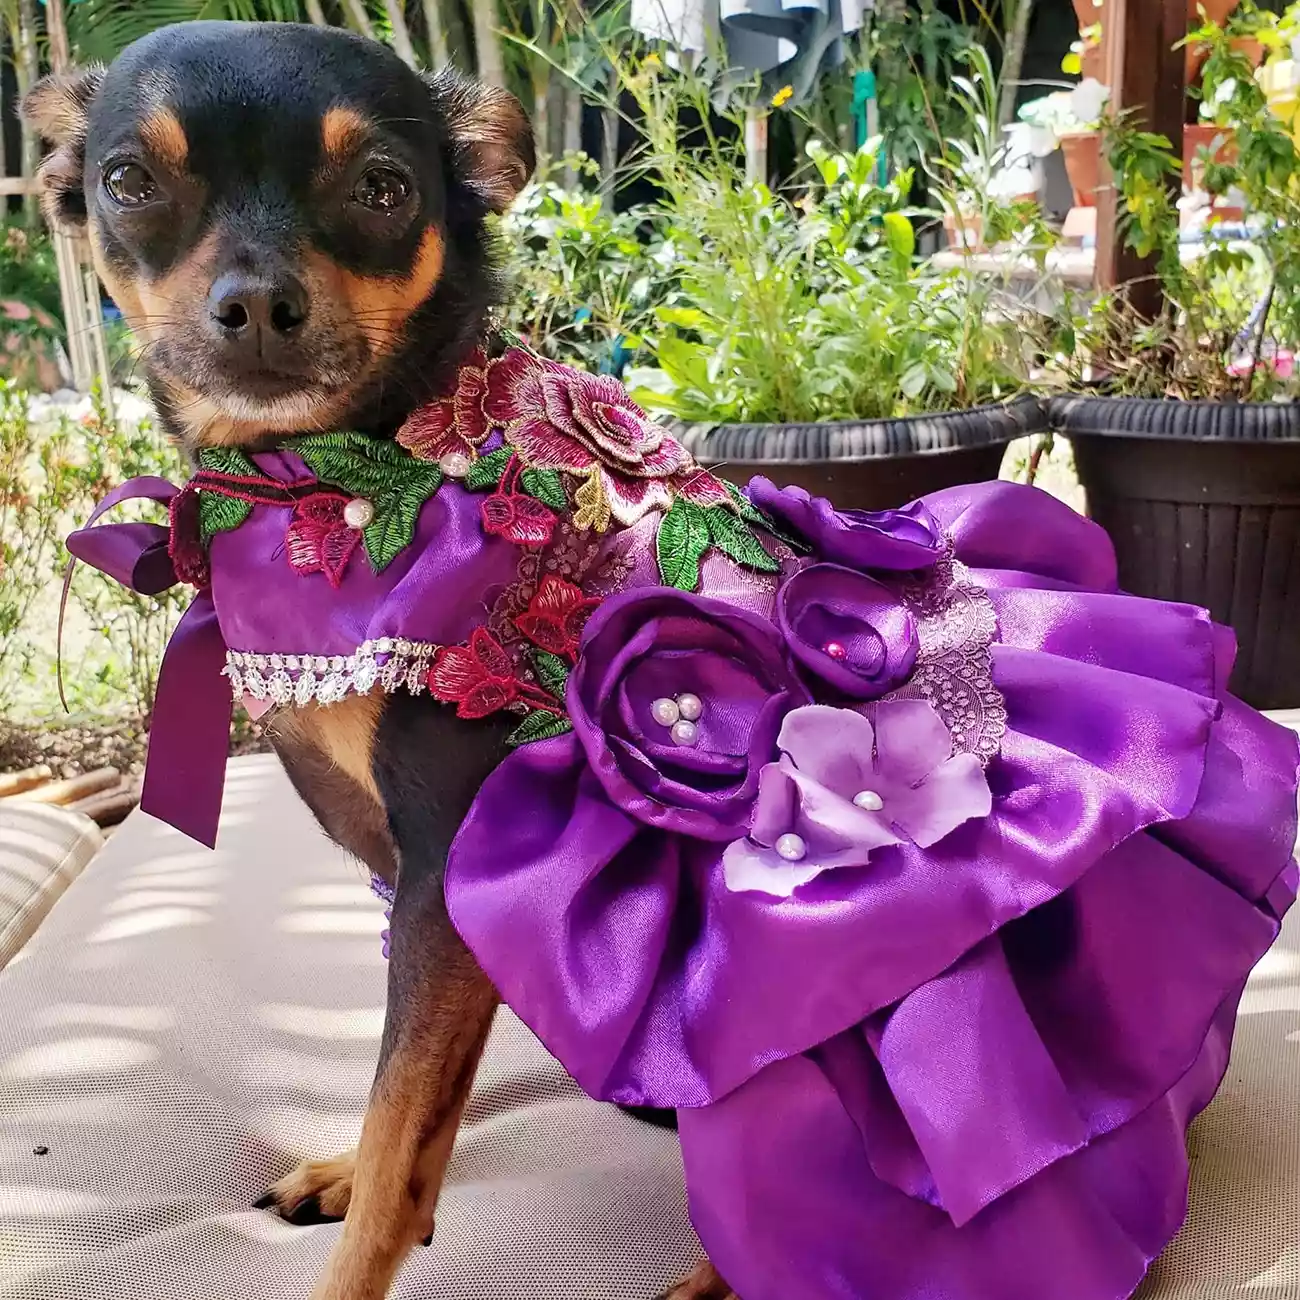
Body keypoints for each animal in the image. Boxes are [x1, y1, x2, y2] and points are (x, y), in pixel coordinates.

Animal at [22, 22, 733, 1300]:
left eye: (384, 190)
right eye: (128, 181)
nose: (256, 301)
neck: (323, 483)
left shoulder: (447, 868)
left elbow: (402, 1109)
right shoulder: (416, 890)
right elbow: (410, 1103)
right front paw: (354, 1173)